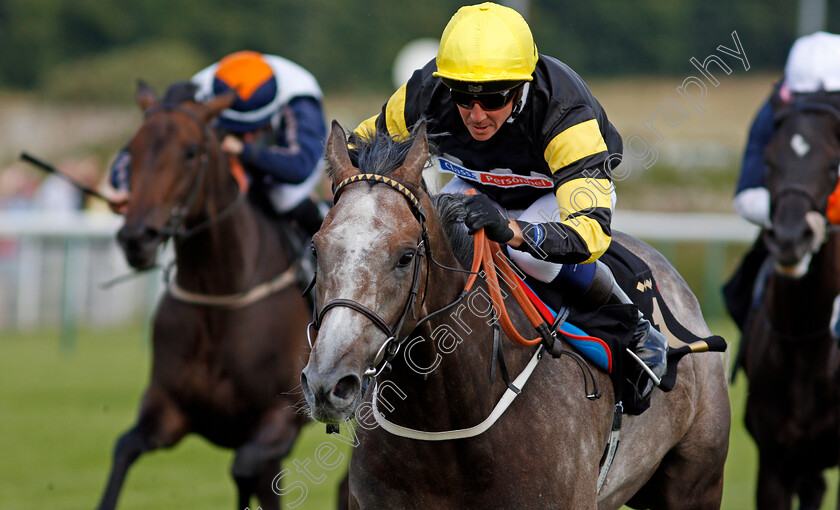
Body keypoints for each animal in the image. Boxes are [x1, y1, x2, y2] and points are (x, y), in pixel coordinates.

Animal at [95, 81, 310, 508]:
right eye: (132, 150)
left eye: (191, 151)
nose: (136, 237)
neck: (220, 296)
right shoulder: (169, 410)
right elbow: (124, 449)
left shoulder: (281, 416)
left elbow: (244, 472)